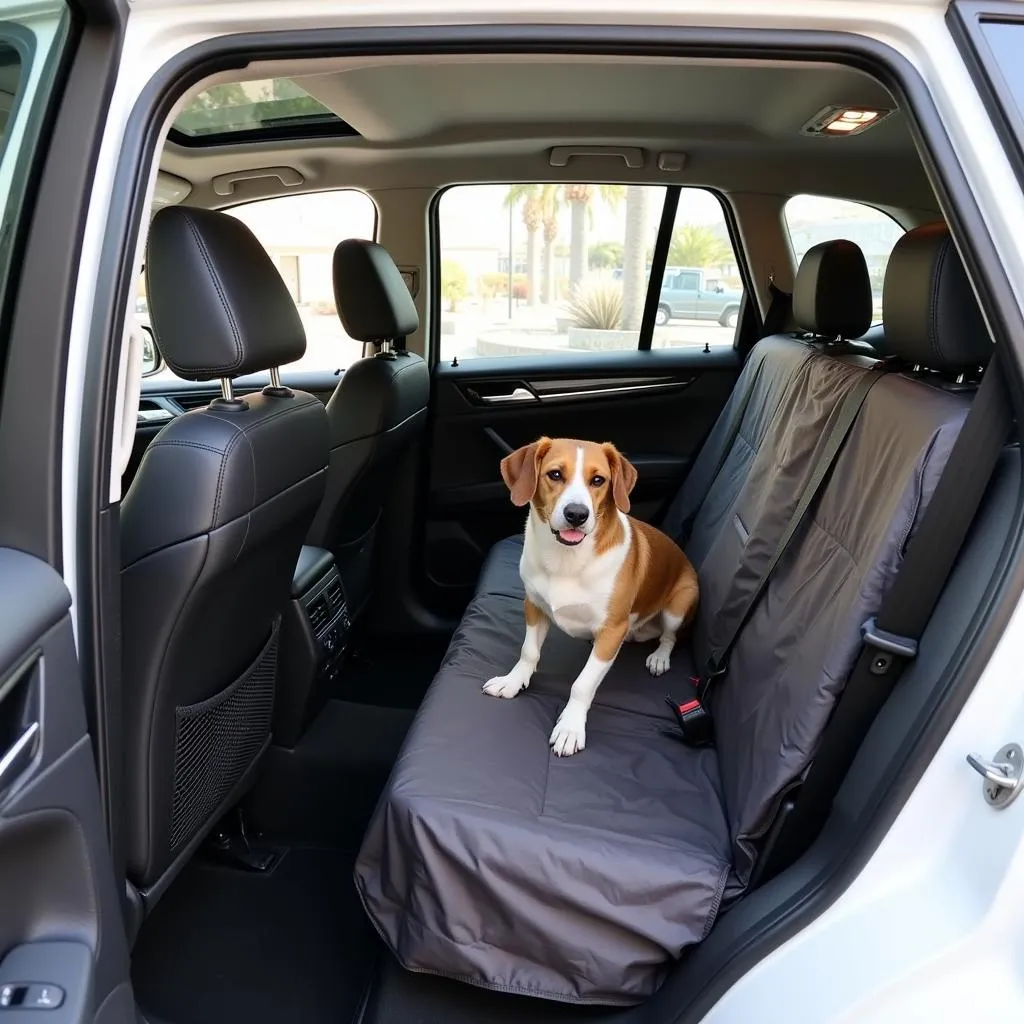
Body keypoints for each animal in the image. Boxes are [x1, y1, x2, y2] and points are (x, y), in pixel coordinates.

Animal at [483, 436, 700, 757]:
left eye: (598, 480)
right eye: (555, 474)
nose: (576, 514)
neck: (567, 559)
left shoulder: (612, 632)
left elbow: (583, 684)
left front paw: (570, 728)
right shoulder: (534, 606)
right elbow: (529, 651)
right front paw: (513, 681)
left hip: (679, 605)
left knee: (669, 637)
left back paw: (659, 657)